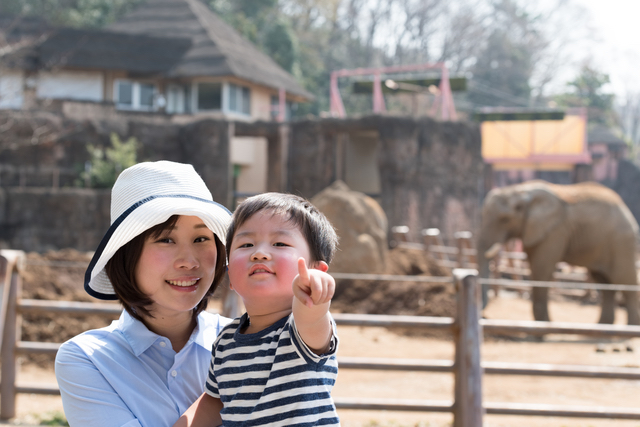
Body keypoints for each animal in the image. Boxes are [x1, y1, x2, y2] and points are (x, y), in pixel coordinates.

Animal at [478, 180, 636, 324]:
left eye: (505, 219)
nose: (484, 316)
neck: (521, 190)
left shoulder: (554, 231)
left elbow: (541, 270)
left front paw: (542, 330)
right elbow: (535, 268)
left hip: (622, 243)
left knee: (625, 283)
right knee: (605, 284)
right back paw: (602, 329)